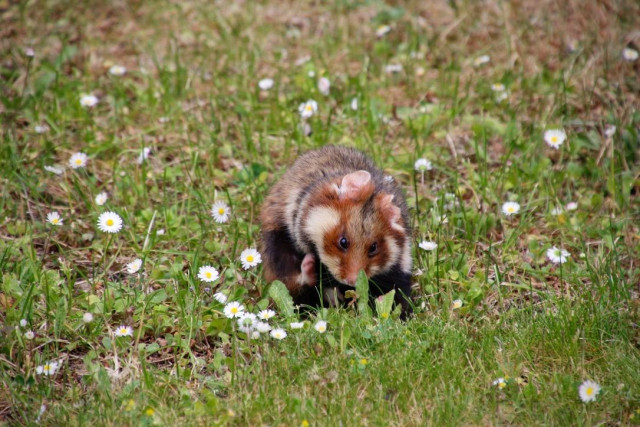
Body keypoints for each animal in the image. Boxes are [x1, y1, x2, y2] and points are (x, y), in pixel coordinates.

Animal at [260, 146, 413, 317]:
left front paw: (385, 304)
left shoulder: (399, 271)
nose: (352, 281)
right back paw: (309, 268)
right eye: (343, 241)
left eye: (374, 248)